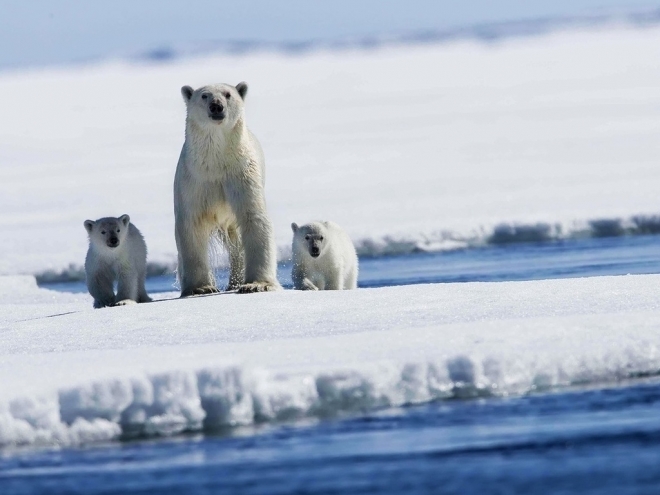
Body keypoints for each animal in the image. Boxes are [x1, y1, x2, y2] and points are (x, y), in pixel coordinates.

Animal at [174, 83, 280, 296]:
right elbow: (191, 224)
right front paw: (201, 287)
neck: (216, 163)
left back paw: (235, 282)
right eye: (204, 96)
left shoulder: (241, 174)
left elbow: (254, 218)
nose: (217, 106)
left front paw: (256, 284)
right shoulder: (193, 181)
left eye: (228, 94)